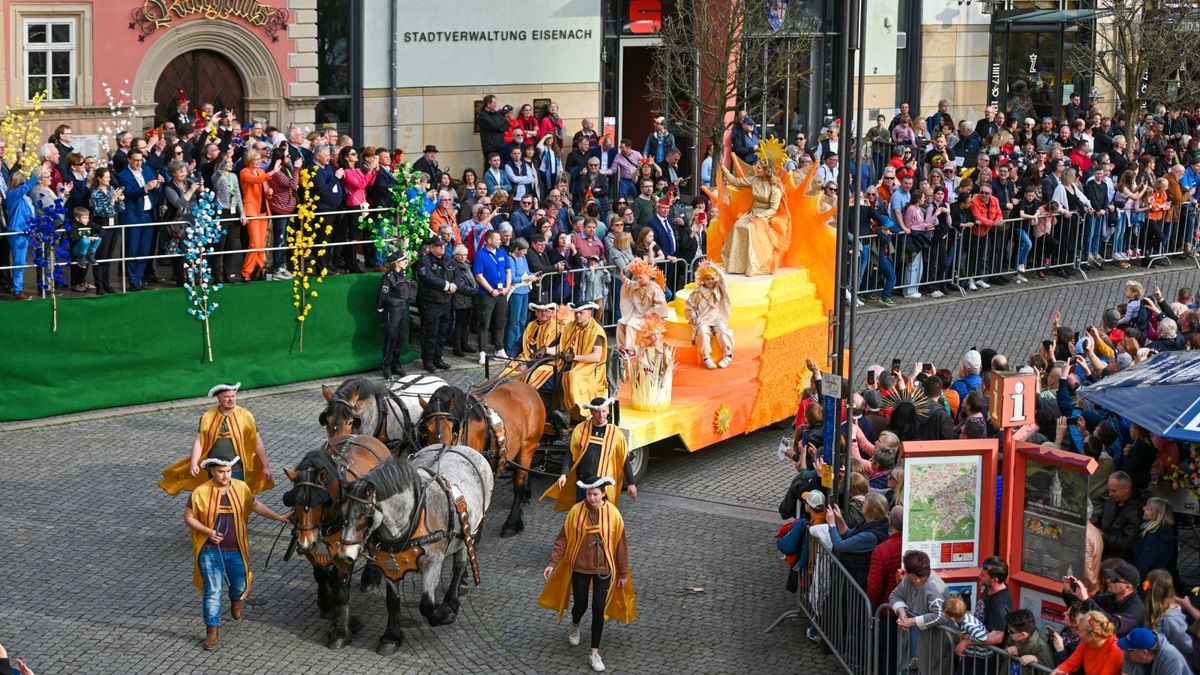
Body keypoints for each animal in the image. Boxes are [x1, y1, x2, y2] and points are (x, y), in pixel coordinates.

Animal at [280, 432, 393, 648]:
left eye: (319, 502)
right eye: (294, 501)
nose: (304, 542)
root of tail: (365, 436)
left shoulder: (345, 550)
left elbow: (342, 588)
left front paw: (341, 632)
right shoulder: (315, 548)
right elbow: (320, 575)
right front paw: (326, 604)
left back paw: (370, 578)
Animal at [412, 381, 544, 533]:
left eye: (452, 427)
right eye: (427, 429)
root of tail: (530, 388)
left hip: (528, 446)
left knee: (519, 482)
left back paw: (512, 521)